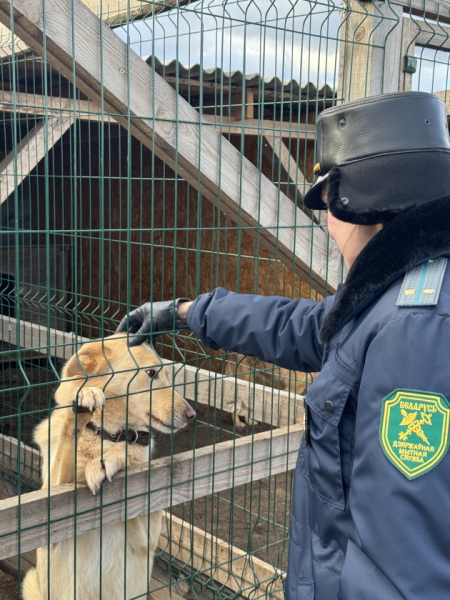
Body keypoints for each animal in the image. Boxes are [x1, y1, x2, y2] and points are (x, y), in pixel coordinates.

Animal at [22, 332, 195, 600]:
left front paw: (109, 460)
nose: (191, 414)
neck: (104, 435)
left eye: (168, 375)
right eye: (151, 373)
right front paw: (83, 402)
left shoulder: (147, 542)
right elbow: (66, 446)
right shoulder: (50, 521)